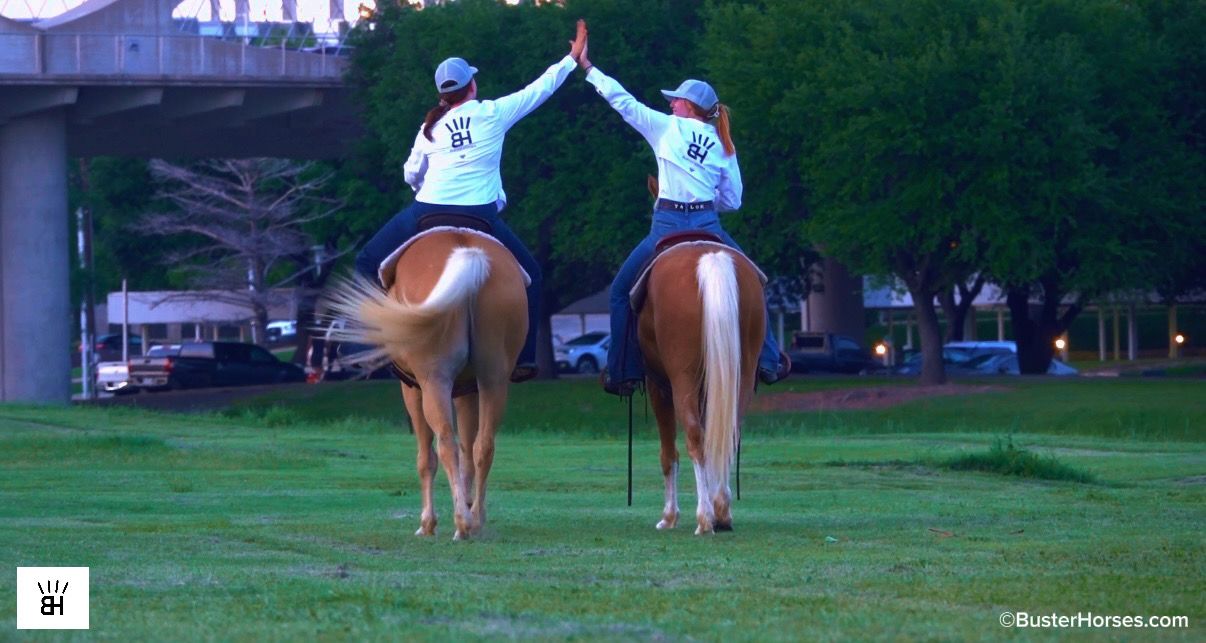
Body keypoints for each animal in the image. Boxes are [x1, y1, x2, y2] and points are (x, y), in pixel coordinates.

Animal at [326, 227, 527, 540]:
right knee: (483, 446)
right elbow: (468, 451)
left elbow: (426, 458)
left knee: (444, 443)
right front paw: (467, 504)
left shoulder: (412, 389)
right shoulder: (467, 391)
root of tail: (467, 253)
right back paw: (476, 519)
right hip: (493, 379)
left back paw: (462, 524)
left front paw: (427, 522)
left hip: (433, 383)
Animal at [636, 238, 766, 535]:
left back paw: (704, 518)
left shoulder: (658, 386)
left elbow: (668, 453)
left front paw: (669, 516)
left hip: (681, 378)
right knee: (728, 434)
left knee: (694, 438)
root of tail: (710, 258)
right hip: (742, 373)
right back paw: (721, 512)